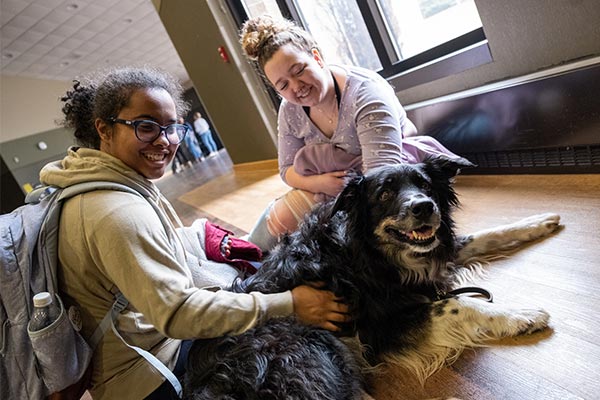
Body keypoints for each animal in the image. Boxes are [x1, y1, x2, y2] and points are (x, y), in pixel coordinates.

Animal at [185, 157, 560, 400]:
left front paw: (540, 222)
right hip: (317, 352)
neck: (370, 254)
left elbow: (483, 236)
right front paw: (522, 316)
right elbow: (458, 304)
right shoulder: (383, 328)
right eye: (384, 194)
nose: (424, 207)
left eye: (425, 185)